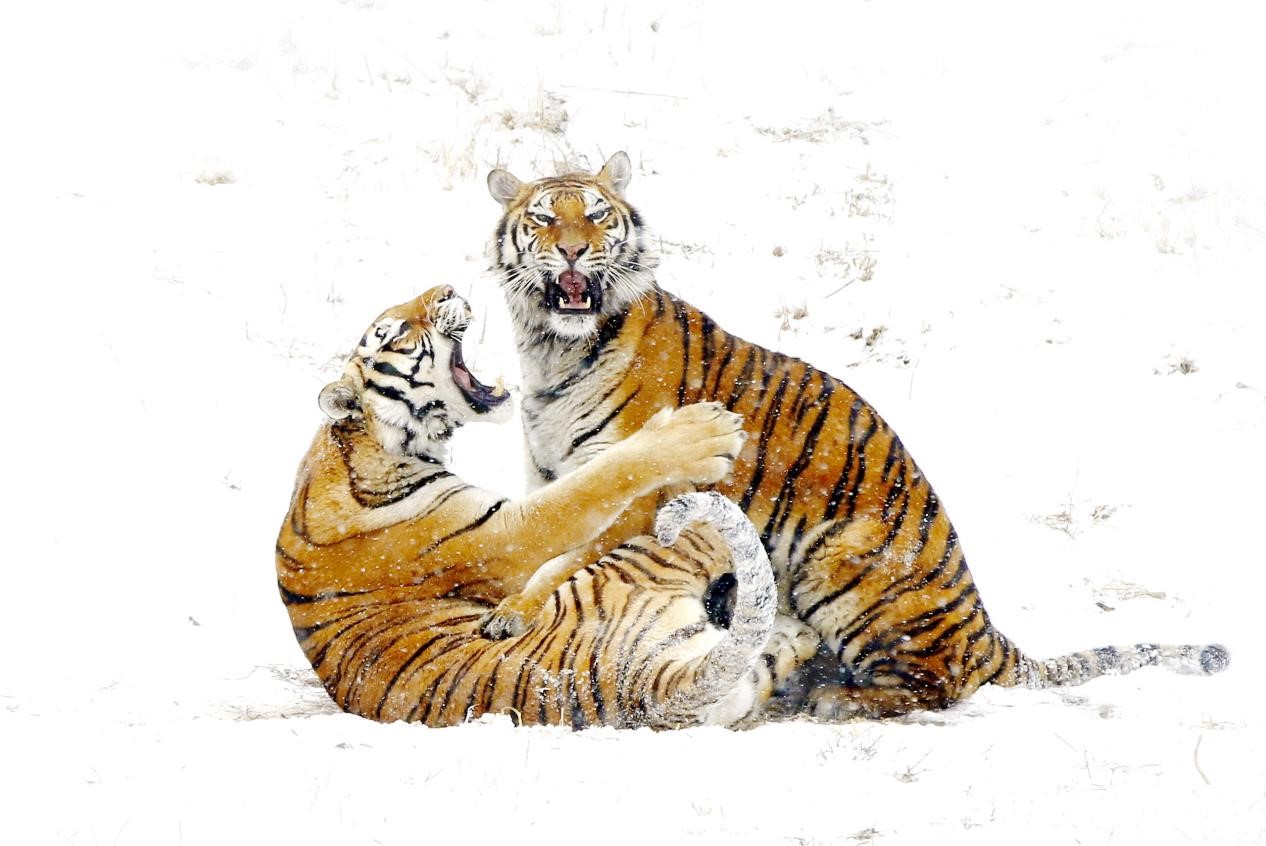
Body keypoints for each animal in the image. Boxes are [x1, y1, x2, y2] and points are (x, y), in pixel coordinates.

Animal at [275, 284, 819, 728]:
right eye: (393, 332)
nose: (446, 288)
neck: (367, 445)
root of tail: (652, 688)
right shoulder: (509, 533)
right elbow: (601, 478)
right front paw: (697, 433)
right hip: (665, 544)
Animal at [481, 151, 1230, 719]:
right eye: (544, 218)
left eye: (597, 214)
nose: (573, 248)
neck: (553, 350)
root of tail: (987, 632)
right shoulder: (554, 473)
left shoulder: (643, 495)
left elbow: (566, 560)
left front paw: (510, 614)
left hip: (837, 563)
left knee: (936, 686)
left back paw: (837, 699)